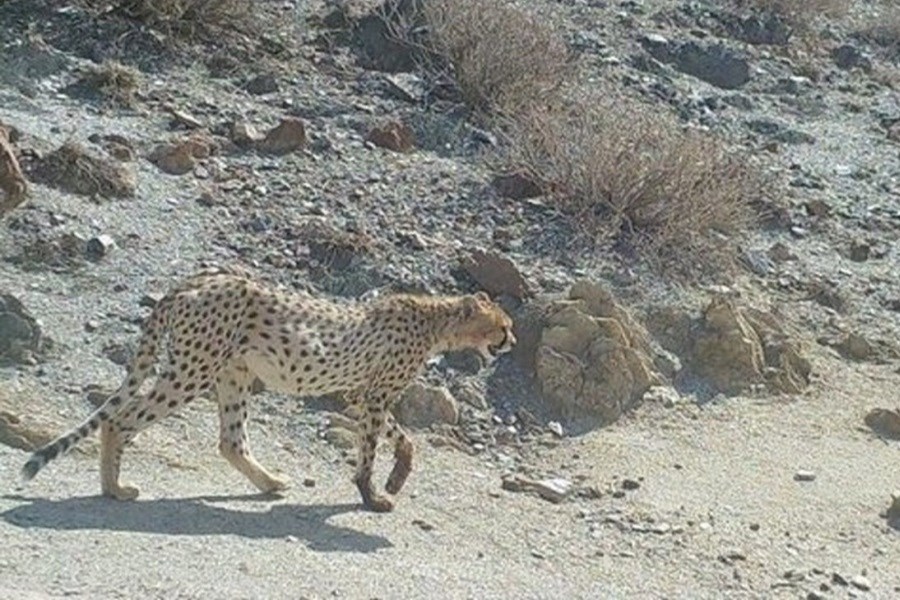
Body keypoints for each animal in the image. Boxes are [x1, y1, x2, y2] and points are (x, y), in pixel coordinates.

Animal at [21, 266, 512, 510]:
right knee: (121, 420)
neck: (436, 323)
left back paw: (270, 481)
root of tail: (193, 281)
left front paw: (398, 475)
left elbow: (401, 437)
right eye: (503, 324)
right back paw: (114, 489)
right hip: (192, 371)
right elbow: (369, 450)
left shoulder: (362, 394)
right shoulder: (373, 396)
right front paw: (371, 495)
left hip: (232, 375)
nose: (512, 340)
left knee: (230, 441)